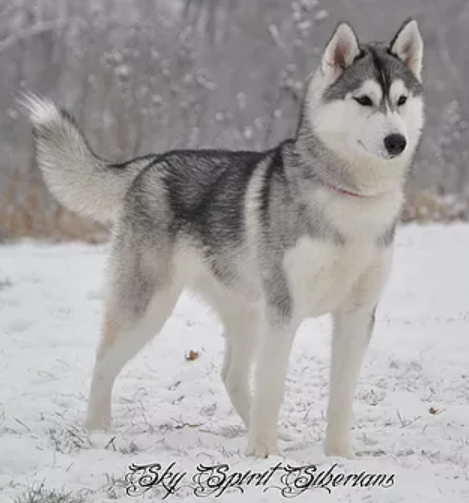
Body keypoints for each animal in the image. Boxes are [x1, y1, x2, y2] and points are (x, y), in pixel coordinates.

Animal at [22, 18, 424, 460]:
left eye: (401, 100)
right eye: (364, 100)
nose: (396, 141)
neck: (350, 198)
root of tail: (151, 163)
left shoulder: (357, 313)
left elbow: (342, 394)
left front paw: (338, 456)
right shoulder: (285, 310)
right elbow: (272, 386)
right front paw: (263, 455)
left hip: (246, 310)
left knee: (231, 374)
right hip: (149, 307)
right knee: (104, 359)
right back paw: (97, 432)